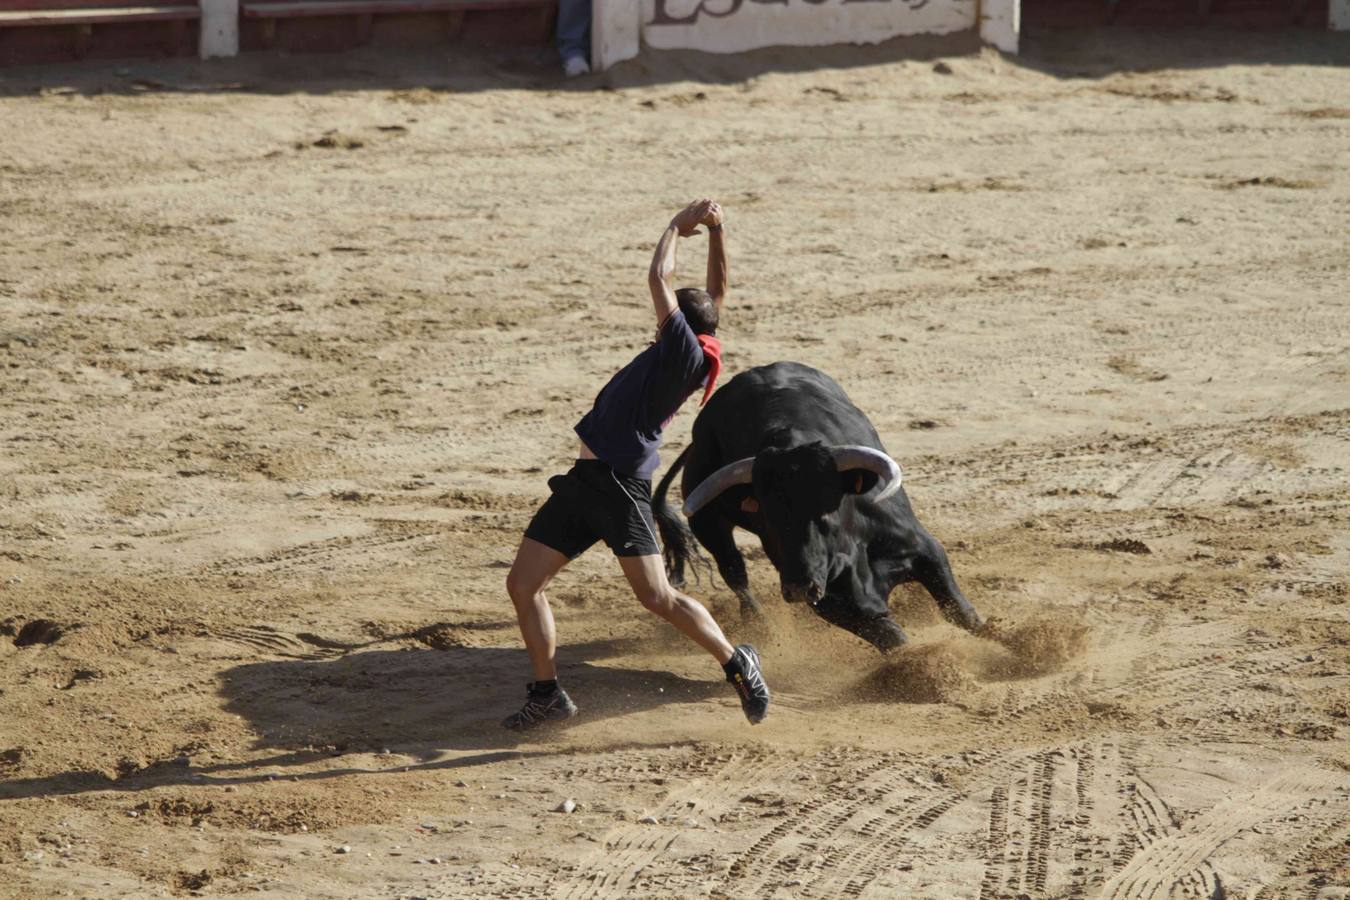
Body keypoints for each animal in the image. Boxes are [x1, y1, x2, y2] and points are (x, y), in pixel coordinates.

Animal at [653, 361, 982, 650]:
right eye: (767, 519)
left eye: (828, 508)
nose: (799, 588)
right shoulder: (829, 601)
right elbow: (892, 637)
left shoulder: (925, 551)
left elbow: (962, 612)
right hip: (707, 524)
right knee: (734, 571)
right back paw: (760, 624)